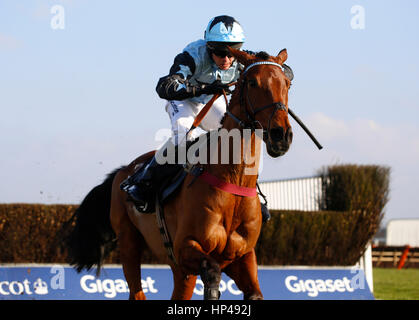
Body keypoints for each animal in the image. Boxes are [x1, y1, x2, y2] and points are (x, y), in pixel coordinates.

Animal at [64, 48, 294, 300]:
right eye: (252, 82)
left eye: (287, 83)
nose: (281, 135)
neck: (233, 180)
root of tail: (123, 171)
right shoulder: (185, 248)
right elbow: (212, 273)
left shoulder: (243, 256)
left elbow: (254, 293)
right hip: (129, 243)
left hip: (176, 269)